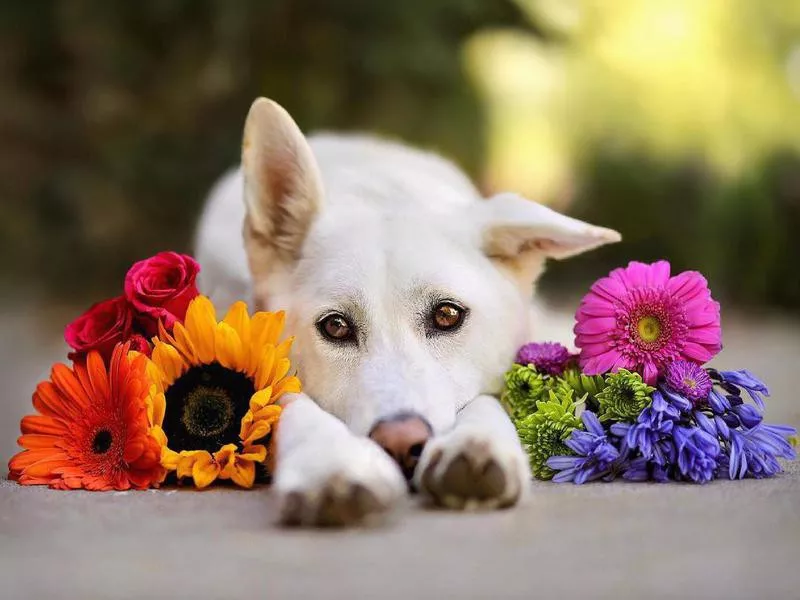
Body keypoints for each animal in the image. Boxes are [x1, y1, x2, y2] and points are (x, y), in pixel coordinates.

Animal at [194, 98, 620, 524]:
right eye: (335, 327)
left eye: (447, 315)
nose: (401, 444)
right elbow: (290, 404)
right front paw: (331, 464)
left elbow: (489, 400)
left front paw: (476, 442)